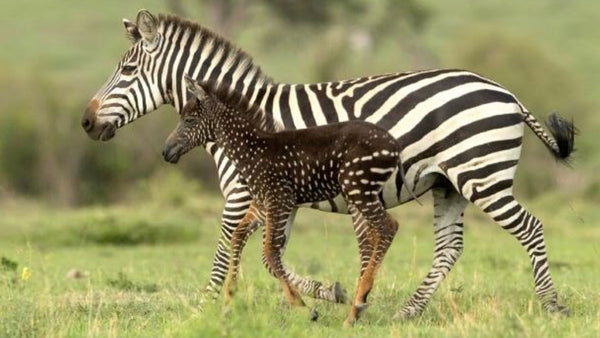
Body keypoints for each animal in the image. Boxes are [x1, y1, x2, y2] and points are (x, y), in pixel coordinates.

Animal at [162, 76, 410, 324]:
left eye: (189, 120)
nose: (166, 152)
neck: (252, 150)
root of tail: (393, 143)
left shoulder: (279, 200)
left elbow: (270, 253)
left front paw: (302, 307)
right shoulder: (261, 204)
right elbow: (238, 237)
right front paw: (229, 298)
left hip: (358, 188)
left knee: (388, 226)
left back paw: (356, 307)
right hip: (362, 192)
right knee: (380, 232)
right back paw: (357, 306)